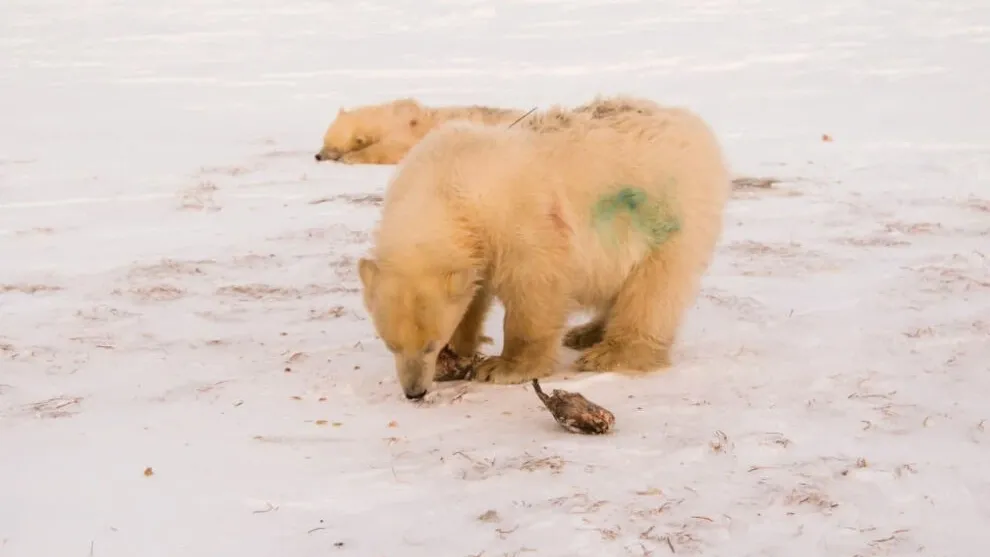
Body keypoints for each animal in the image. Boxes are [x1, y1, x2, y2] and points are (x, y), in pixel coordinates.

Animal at [356, 105, 728, 400]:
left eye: (430, 344)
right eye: (391, 344)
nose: (414, 392)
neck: (447, 183)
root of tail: (695, 125)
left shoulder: (519, 222)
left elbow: (533, 288)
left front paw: (502, 367)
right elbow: (474, 293)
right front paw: (462, 348)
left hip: (666, 213)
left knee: (654, 290)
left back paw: (610, 353)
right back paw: (586, 332)